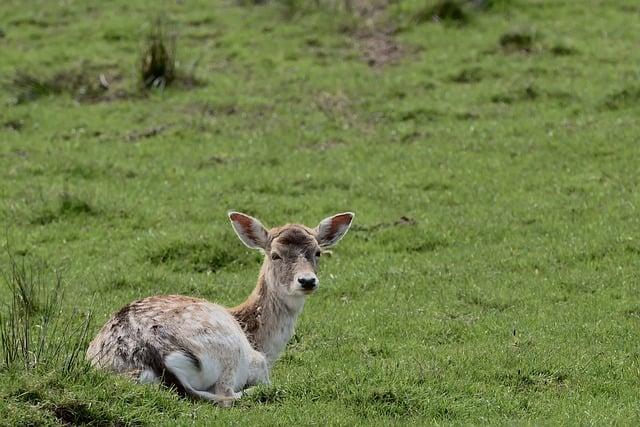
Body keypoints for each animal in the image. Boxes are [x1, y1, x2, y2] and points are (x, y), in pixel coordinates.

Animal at [85, 212, 356, 406]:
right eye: (275, 255)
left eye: (318, 252)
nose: (307, 281)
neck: (260, 340)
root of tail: (154, 355)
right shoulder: (260, 364)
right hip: (230, 355)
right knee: (226, 395)